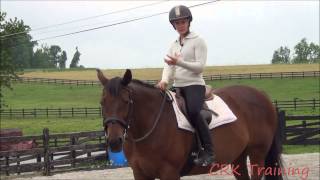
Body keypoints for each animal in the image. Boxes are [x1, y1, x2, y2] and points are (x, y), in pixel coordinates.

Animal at [96, 68, 284, 179]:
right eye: (102, 102)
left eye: (126, 101)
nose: (114, 141)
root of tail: (261, 94)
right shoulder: (140, 174)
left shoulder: (169, 173)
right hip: (238, 156)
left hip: (257, 154)